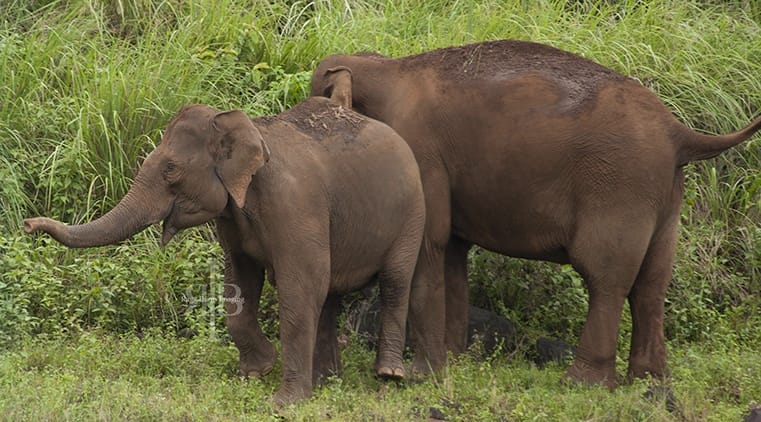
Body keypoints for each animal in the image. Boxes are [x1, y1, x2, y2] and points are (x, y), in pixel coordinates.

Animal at [22, 97, 428, 404]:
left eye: (170, 169)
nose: (28, 224)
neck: (244, 125)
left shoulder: (297, 205)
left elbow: (301, 287)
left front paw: (284, 403)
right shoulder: (233, 218)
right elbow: (240, 281)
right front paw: (257, 371)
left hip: (413, 213)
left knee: (395, 281)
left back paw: (389, 374)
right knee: (330, 296)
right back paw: (327, 381)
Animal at [308, 40, 760, 390]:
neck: (385, 66)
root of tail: (680, 133)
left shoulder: (422, 151)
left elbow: (429, 240)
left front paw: (424, 375)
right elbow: (452, 250)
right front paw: (455, 360)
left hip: (621, 186)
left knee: (606, 275)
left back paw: (582, 384)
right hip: (665, 196)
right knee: (652, 281)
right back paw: (648, 381)